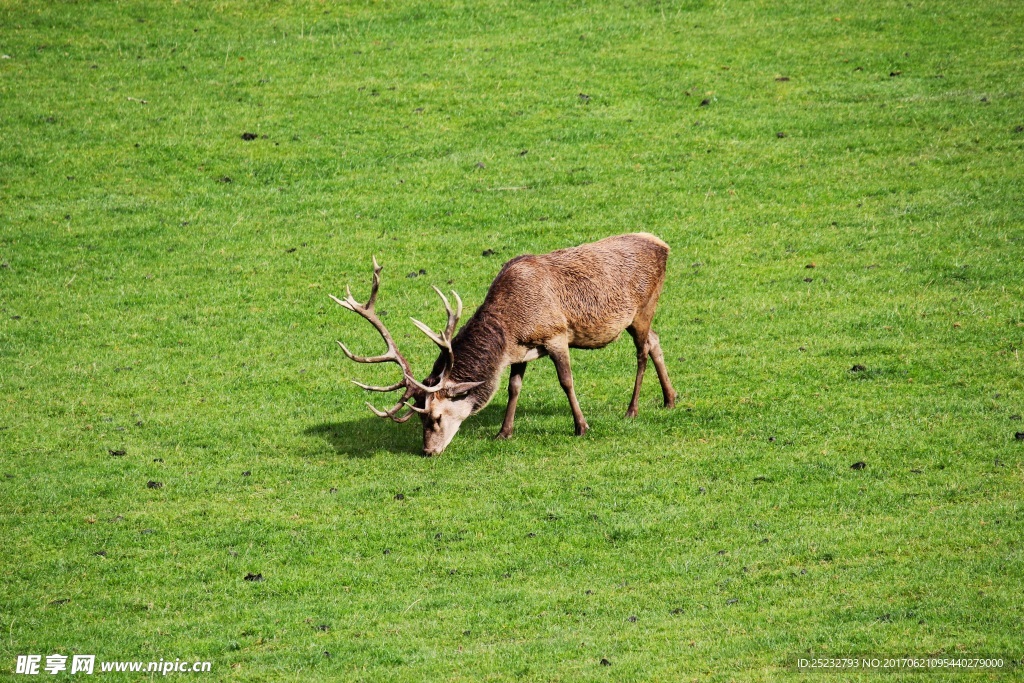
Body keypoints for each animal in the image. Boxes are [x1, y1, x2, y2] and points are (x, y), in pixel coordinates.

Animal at [331, 232, 675, 456]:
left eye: (435, 417)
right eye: (418, 417)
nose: (428, 452)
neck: (511, 325)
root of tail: (664, 245)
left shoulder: (557, 335)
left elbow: (566, 381)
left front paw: (581, 427)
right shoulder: (520, 351)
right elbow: (513, 387)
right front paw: (503, 432)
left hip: (644, 308)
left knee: (642, 352)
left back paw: (632, 409)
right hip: (639, 318)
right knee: (656, 341)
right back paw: (670, 399)